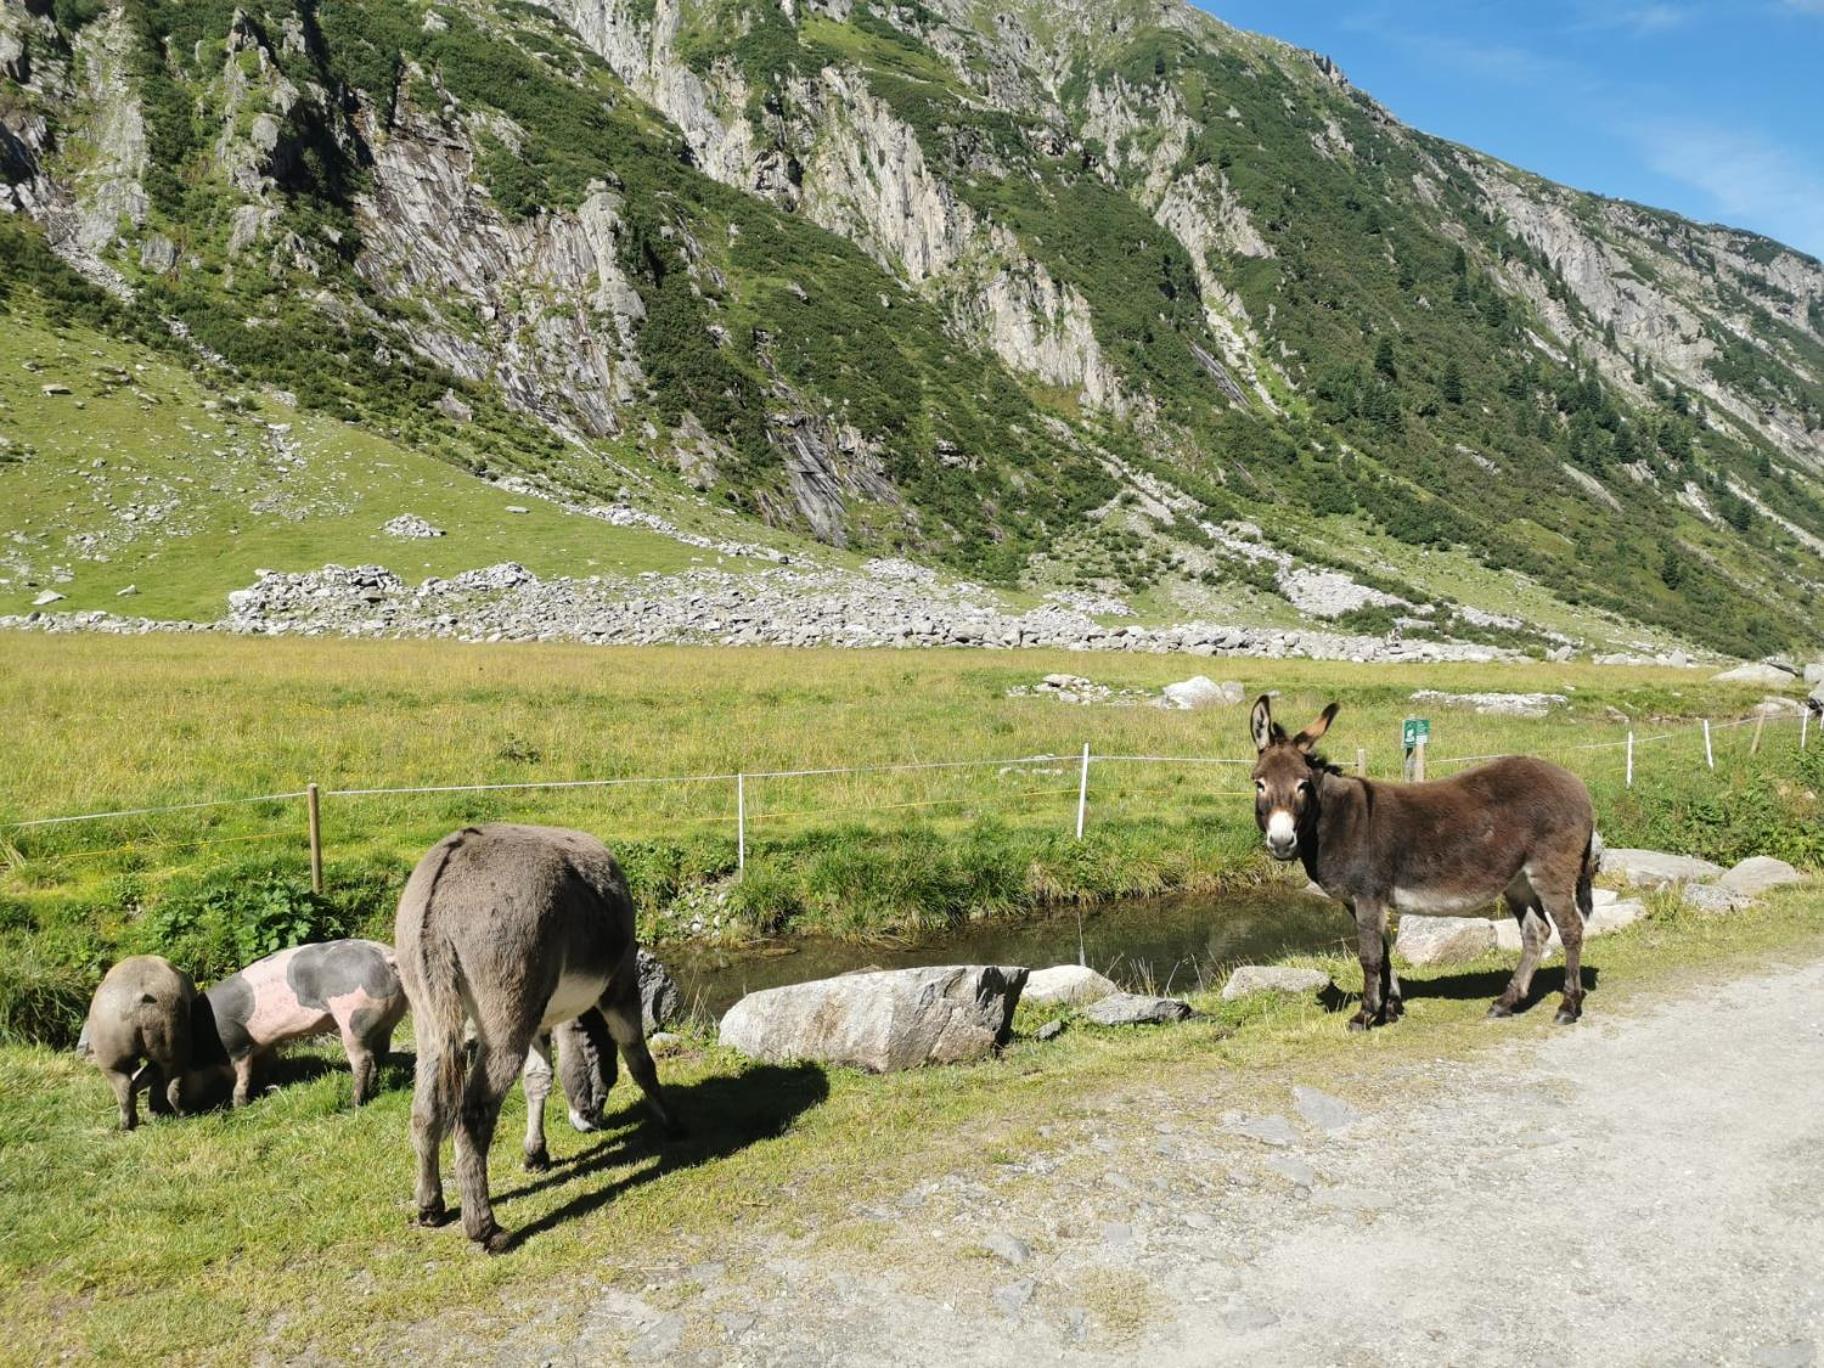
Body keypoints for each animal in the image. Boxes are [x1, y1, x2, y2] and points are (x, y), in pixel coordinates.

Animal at [186, 941, 408, 1108]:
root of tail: (386, 957)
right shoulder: (263, 1043)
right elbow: (267, 1065)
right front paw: (269, 1087)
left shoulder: (237, 1041)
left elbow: (242, 1075)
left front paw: (239, 1106)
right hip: (388, 1018)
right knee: (380, 1052)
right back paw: (373, 1089)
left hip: (353, 1019)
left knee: (363, 1059)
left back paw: (352, 1103)